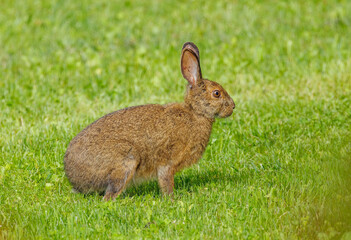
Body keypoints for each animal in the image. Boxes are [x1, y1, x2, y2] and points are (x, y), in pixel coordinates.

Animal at [65, 42, 236, 200]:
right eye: (216, 93)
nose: (233, 106)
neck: (195, 112)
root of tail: (73, 178)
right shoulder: (168, 162)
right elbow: (166, 180)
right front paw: (172, 199)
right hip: (126, 162)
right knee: (110, 195)